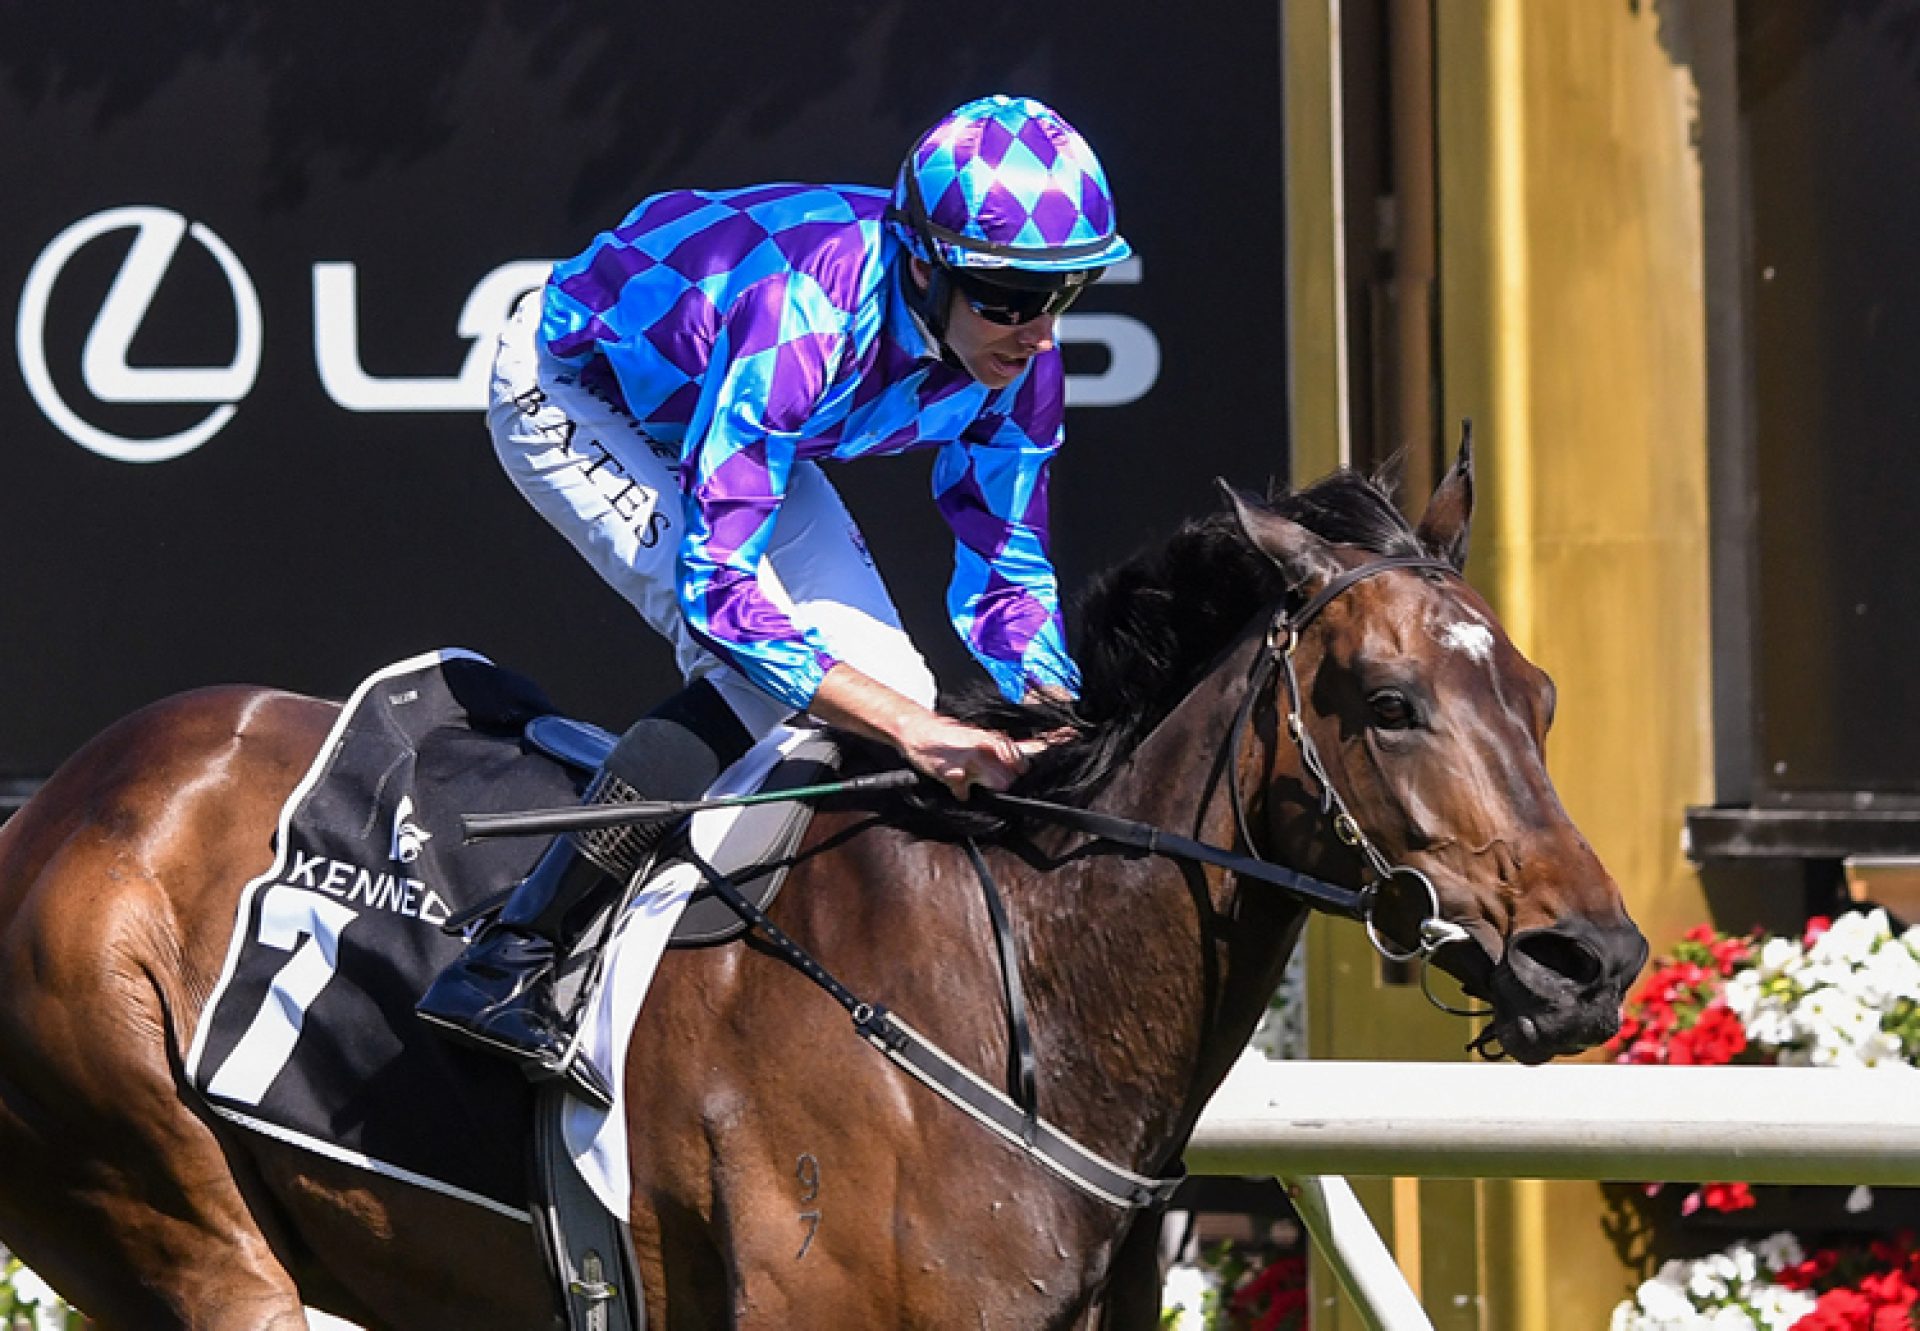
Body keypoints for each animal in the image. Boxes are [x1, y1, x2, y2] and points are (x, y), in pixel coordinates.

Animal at [0, 449, 1651, 1329]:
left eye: (1546, 696)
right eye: (1388, 700)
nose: (1593, 957)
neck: (1017, 982)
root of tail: (62, 800)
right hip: (174, 1215)